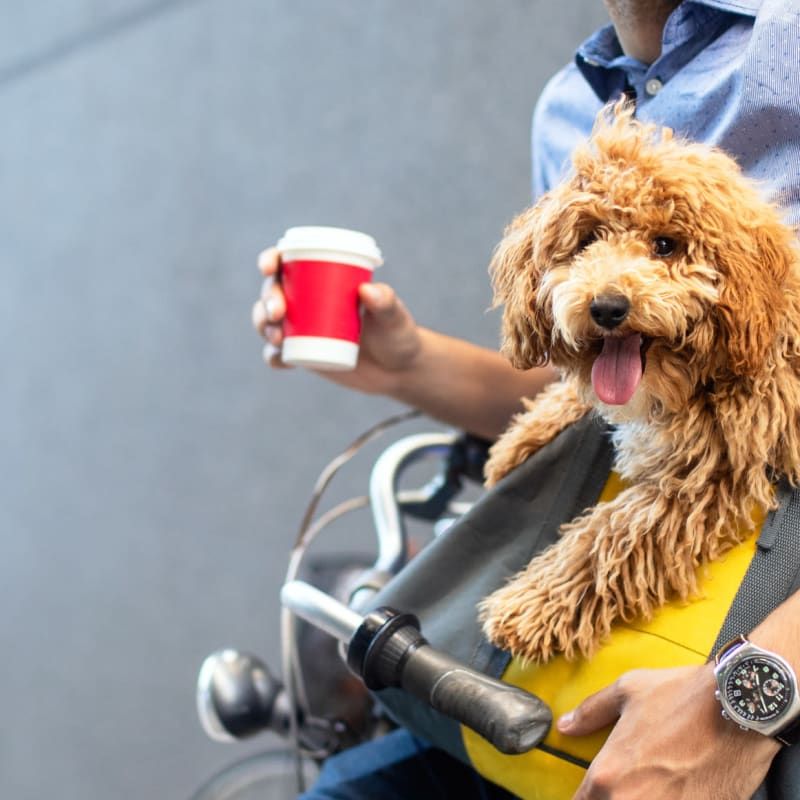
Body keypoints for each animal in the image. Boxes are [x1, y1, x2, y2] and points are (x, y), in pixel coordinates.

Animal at [478, 108, 800, 668]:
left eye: (665, 245)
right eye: (586, 240)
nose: (607, 307)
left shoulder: (709, 474)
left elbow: (609, 535)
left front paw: (528, 606)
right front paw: (518, 441)